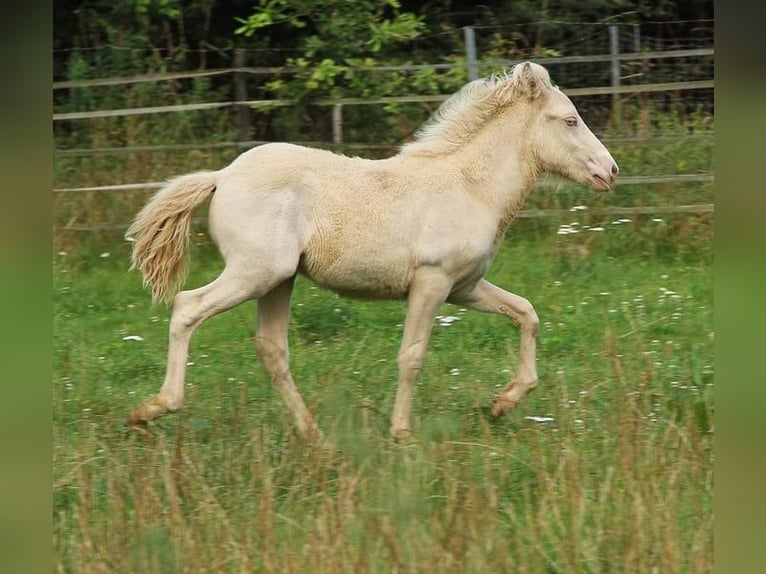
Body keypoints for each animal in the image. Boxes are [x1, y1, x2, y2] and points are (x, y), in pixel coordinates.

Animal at [125, 62, 618, 440]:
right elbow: (412, 356)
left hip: (279, 280)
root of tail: (222, 176)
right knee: (188, 307)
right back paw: (152, 409)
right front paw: (401, 433)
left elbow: (526, 313)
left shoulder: (465, 287)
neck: (469, 186)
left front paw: (504, 403)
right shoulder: (432, 282)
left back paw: (313, 433)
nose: (610, 171)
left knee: (272, 349)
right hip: (256, 272)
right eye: (570, 120)